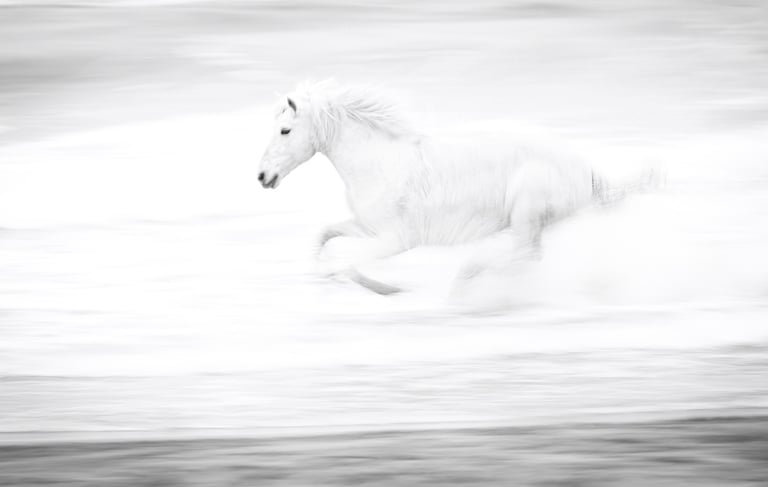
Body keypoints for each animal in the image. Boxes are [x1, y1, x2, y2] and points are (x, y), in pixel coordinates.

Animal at [257, 80, 627, 294]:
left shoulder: (396, 240)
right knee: (529, 255)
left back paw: (467, 276)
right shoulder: (367, 227)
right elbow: (324, 237)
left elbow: (347, 264)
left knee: (525, 253)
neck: (380, 162)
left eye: (285, 130)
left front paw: (390, 289)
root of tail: (586, 169)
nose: (262, 176)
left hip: (526, 212)